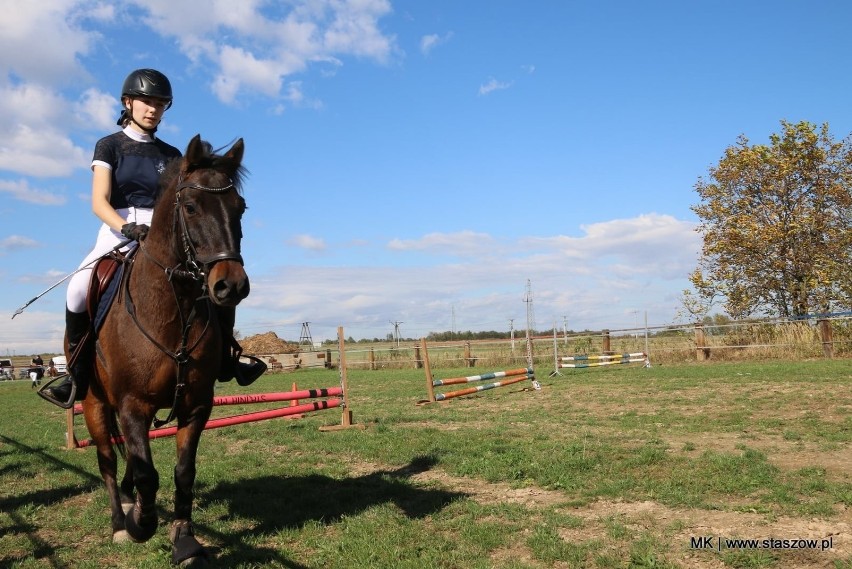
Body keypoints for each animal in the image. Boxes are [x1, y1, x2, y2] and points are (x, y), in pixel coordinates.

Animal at [82, 133, 250, 564]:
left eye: (240, 208)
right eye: (190, 207)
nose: (231, 286)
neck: (173, 312)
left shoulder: (196, 406)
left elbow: (182, 472)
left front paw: (185, 540)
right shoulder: (131, 405)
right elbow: (146, 473)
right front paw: (139, 524)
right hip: (94, 403)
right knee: (108, 460)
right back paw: (119, 521)